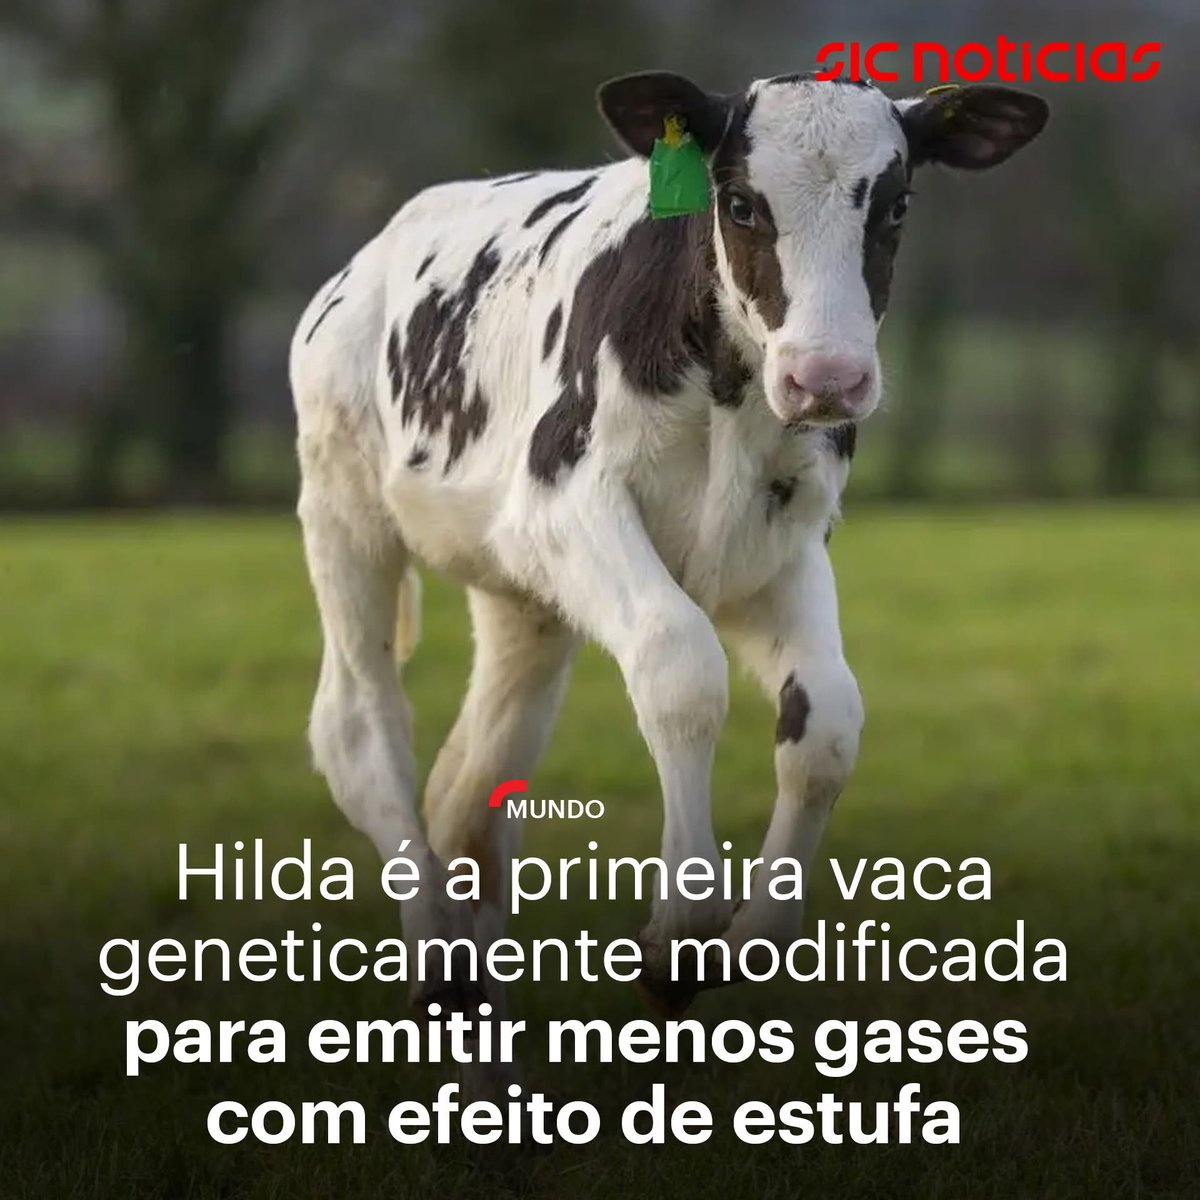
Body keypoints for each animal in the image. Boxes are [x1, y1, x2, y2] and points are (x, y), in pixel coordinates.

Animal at [290, 72, 1047, 1027]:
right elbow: (681, 668)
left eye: (897, 203)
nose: (828, 379)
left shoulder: (783, 547)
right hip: (343, 506)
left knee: (473, 781)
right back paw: (432, 957)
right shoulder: (564, 500)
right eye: (741, 203)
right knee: (360, 723)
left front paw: (756, 934)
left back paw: (472, 982)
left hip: (523, 600)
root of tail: (368, 260)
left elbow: (828, 720)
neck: (729, 396)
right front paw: (682, 931)